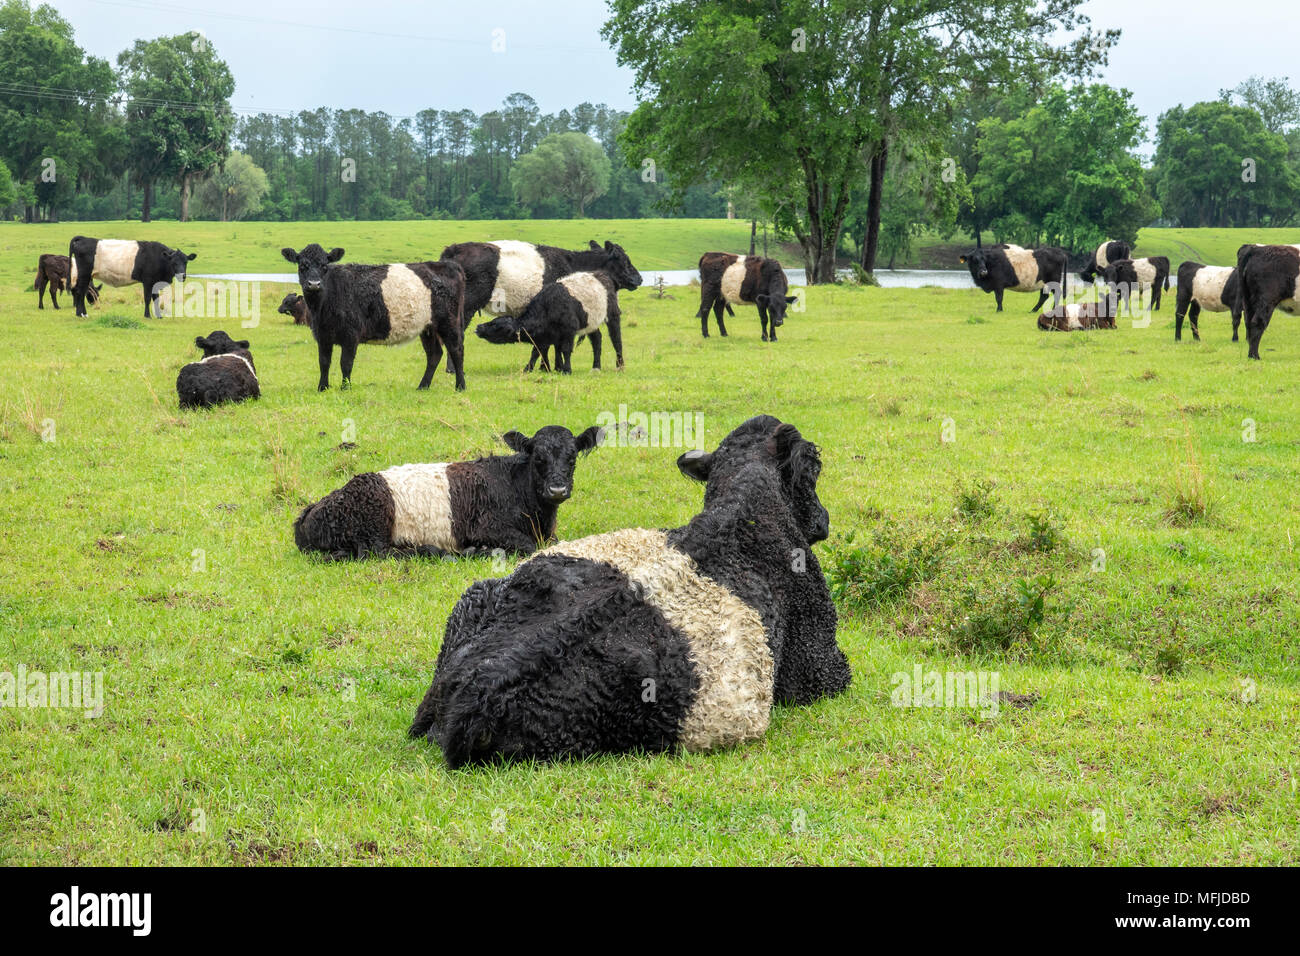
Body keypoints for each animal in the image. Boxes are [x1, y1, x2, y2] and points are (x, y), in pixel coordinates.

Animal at [279, 248, 467, 395]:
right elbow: (324, 362)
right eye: (302, 266)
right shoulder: (323, 335)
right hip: (428, 327)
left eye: (324, 266)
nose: (314, 284)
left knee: (456, 350)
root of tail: (449, 265)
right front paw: (322, 388)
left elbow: (345, 363)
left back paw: (460, 386)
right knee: (434, 354)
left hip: (449, 322)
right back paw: (423, 386)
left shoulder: (351, 335)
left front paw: (345, 388)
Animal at [292, 424, 600, 561]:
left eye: (572, 458)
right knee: (382, 553)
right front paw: (484, 550)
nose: (557, 489)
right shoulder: (487, 526)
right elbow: (530, 546)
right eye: (538, 458)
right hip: (374, 529)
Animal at [408, 416, 852, 764]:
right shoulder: (822, 663)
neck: (744, 510)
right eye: (814, 471)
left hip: (475, 595)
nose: (824, 520)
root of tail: (478, 685)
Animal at [475, 270, 626, 374]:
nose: (478, 327)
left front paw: (566, 370)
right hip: (591, 323)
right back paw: (596, 367)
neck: (548, 306)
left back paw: (620, 366)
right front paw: (538, 368)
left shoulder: (568, 331)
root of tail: (602, 274)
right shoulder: (548, 335)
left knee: (616, 340)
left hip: (613, 316)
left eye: (495, 325)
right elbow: (539, 351)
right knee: (597, 341)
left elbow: (565, 349)